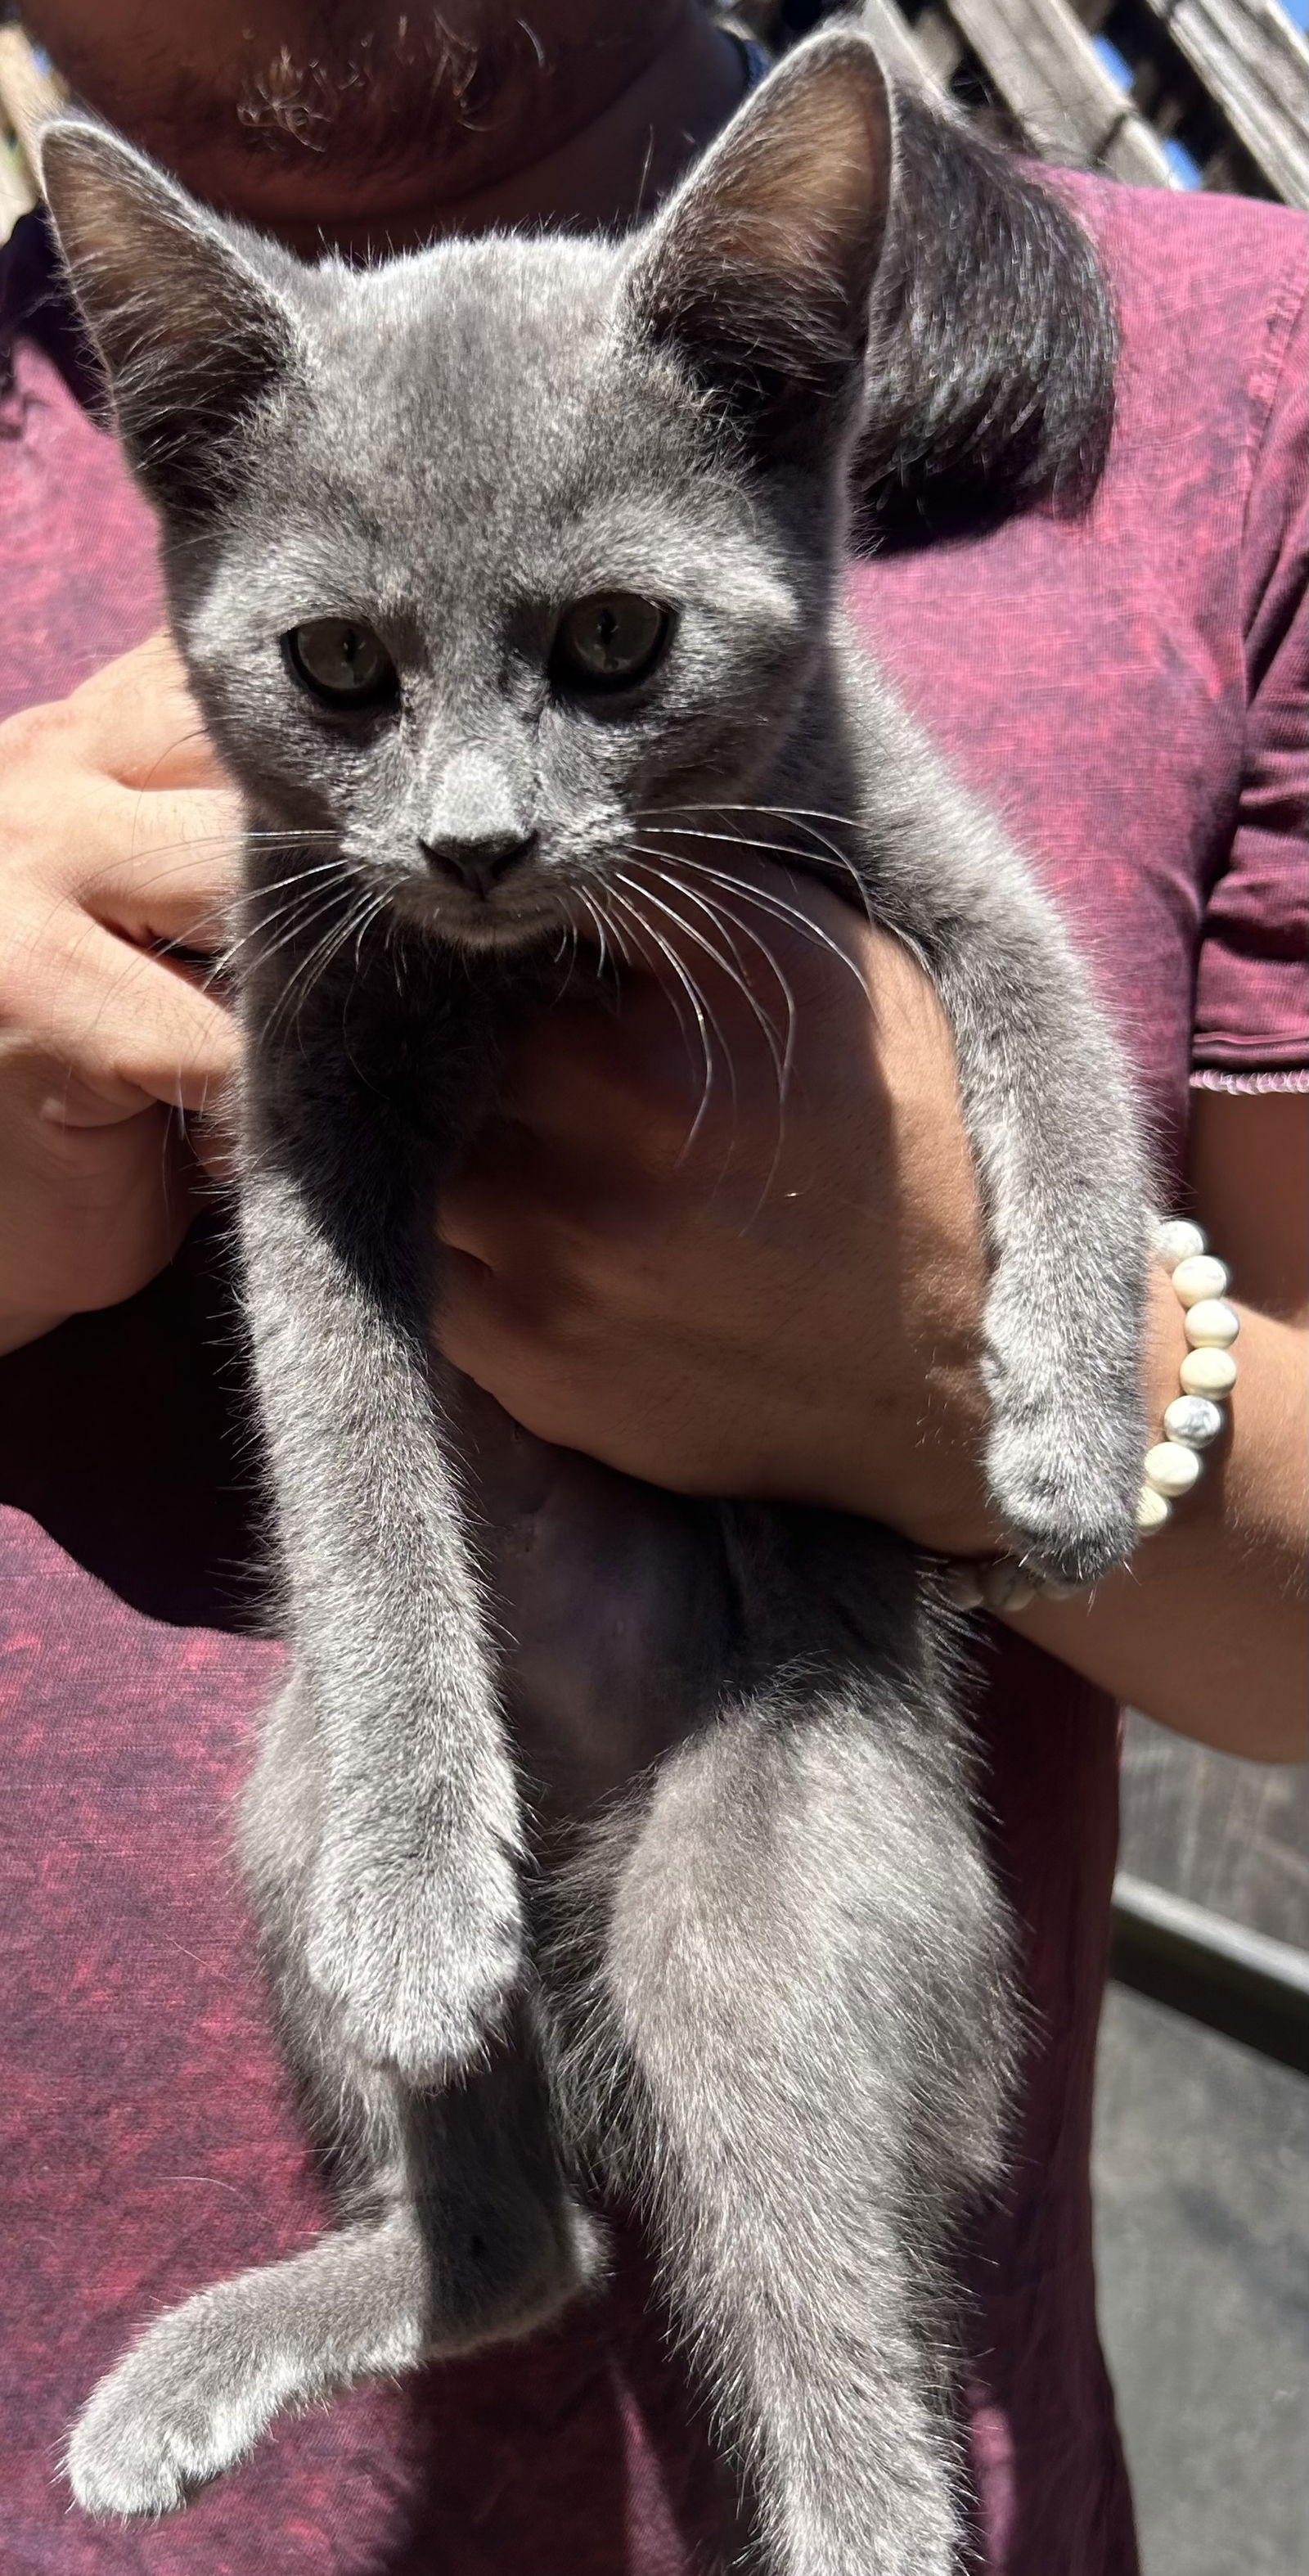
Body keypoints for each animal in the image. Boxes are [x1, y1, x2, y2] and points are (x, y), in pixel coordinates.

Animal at [38, 25, 1144, 2576]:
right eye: (341, 666)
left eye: (619, 642)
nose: (473, 841)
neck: (530, 968)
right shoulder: (308, 1075)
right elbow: (345, 1429)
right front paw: (416, 1881)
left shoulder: (933, 854)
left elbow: (1068, 1061)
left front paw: (1068, 1425)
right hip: (287, 1789)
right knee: (527, 2238)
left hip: (780, 1868)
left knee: (810, 2307)